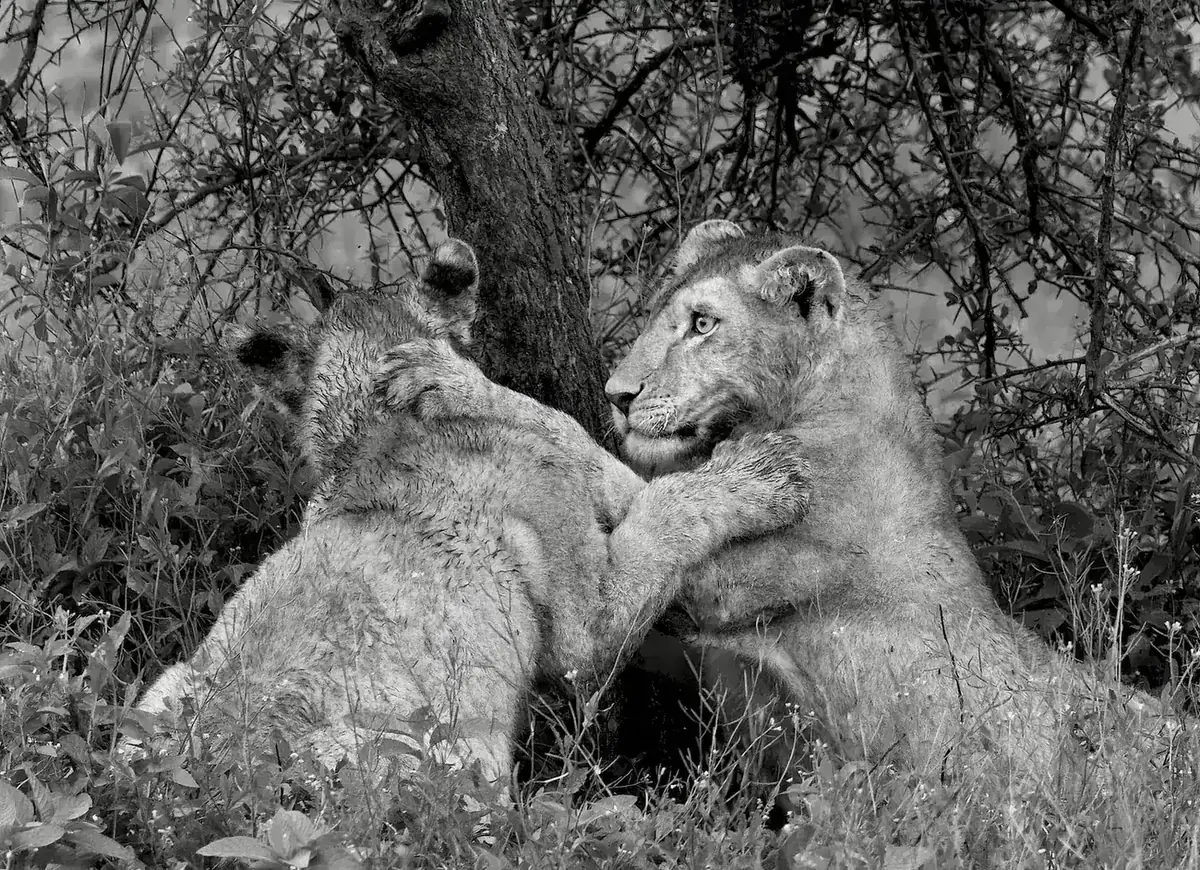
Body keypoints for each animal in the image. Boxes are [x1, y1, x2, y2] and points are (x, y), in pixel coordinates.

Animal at [133, 237, 810, 786]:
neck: (373, 428)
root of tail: (235, 759)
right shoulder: (585, 628)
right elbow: (661, 502)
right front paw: (770, 473)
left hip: (153, 701)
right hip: (453, 762)